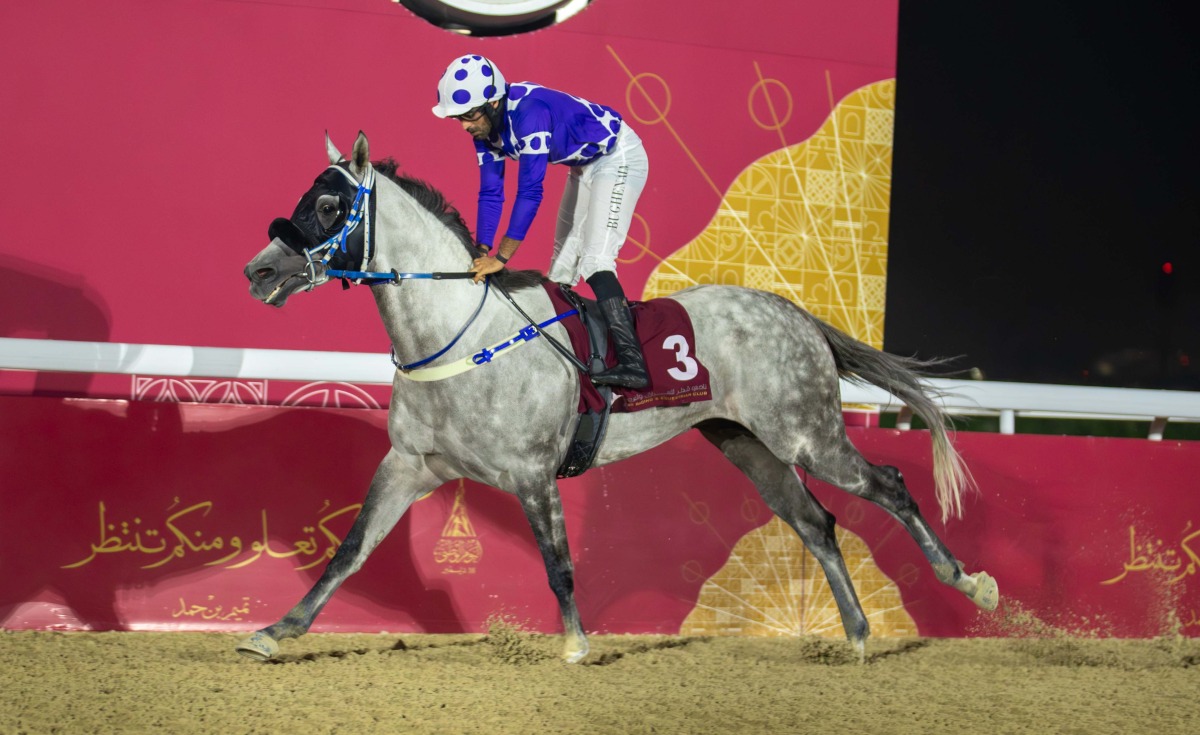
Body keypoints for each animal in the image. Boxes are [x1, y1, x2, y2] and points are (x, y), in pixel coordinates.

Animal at [238, 132, 998, 663]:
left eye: (330, 204)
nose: (259, 271)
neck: (460, 335)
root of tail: (796, 313)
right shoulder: (410, 463)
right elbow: (351, 549)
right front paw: (276, 630)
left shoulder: (532, 472)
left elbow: (558, 564)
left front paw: (575, 645)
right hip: (748, 445)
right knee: (816, 523)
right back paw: (858, 633)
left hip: (807, 434)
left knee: (889, 483)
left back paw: (968, 583)